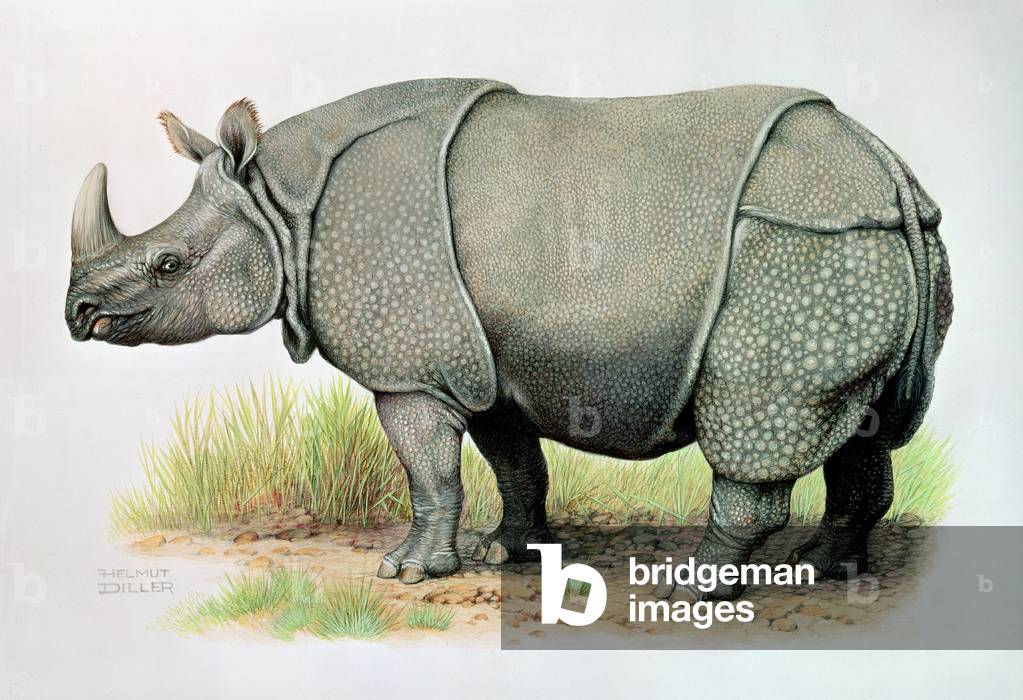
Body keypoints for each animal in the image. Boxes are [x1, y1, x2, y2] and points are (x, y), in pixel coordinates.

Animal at [64, 79, 951, 599]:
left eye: (168, 265)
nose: (78, 315)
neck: (278, 207)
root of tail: (887, 170)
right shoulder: (485, 359)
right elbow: (512, 462)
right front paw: (507, 553)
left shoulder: (411, 368)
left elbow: (427, 470)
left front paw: (406, 572)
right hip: (866, 243)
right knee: (867, 427)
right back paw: (827, 571)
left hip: (798, 249)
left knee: (757, 425)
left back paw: (691, 589)